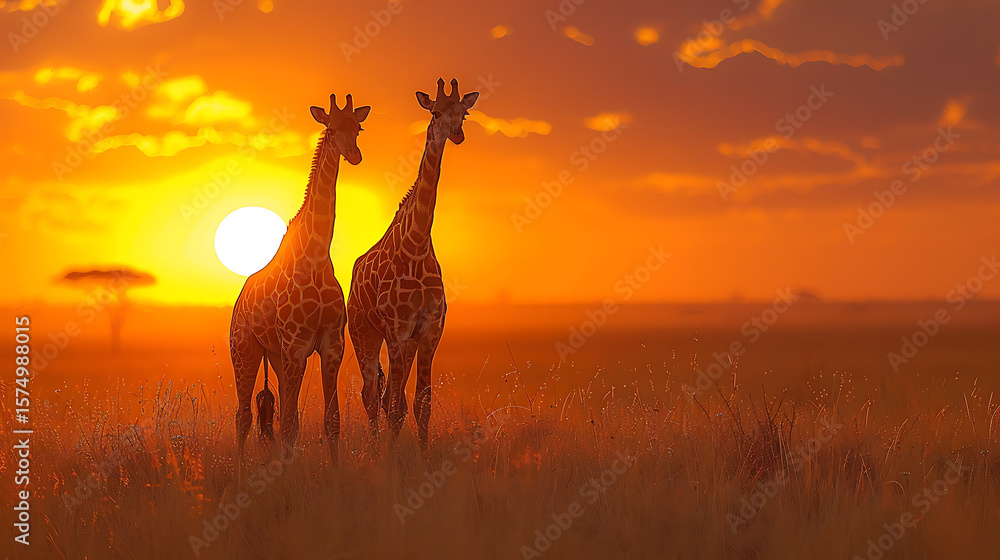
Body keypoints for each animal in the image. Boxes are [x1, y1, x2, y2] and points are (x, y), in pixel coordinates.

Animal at [230, 93, 370, 462]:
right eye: (331, 128)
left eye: (358, 128)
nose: (354, 155)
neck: (317, 256)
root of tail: (238, 302)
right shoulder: (296, 347)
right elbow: (290, 425)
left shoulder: (331, 345)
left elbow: (330, 420)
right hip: (244, 350)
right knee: (244, 416)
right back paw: (239, 473)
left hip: (276, 357)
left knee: (275, 413)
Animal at [347, 78, 478, 449]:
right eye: (435, 112)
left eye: (464, 113)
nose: (457, 134)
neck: (417, 245)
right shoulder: (398, 330)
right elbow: (395, 405)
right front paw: (391, 459)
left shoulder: (430, 330)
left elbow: (421, 403)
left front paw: (424, 454)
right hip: (363, 331)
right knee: (371, 394)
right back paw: (375, 449)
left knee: (386, 396)